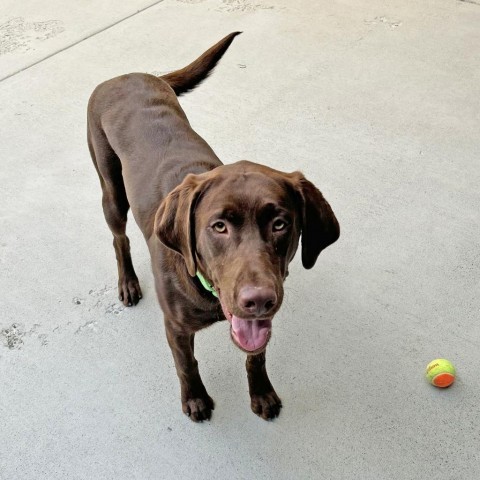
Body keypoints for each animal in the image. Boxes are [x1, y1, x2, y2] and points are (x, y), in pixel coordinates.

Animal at [87, 31, 342, 422]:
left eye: (280, 224)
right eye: (218, 226)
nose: (258, 300)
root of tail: (126, 74)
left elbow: (255, 356)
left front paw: (262, 393)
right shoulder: (175, 327)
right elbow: (186, 364)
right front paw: (195, 399)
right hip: (111, 191)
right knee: (119, 239)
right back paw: (128, 282)